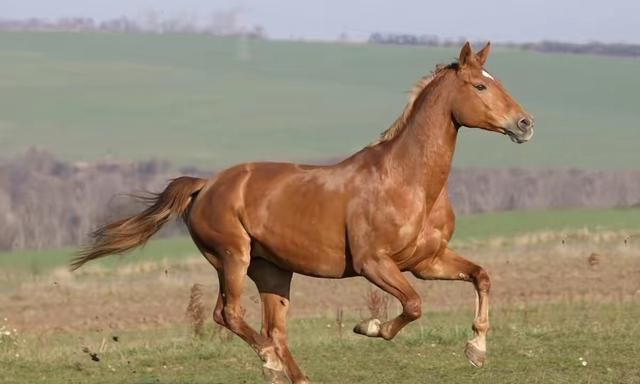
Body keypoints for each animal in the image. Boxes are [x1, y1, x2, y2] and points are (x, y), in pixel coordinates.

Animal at [71, 42, 536, 384]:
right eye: (479, 87)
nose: (525, 124)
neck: (410, 183)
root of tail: (206, 185)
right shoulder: (374, 263)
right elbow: (414, 305)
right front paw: (369, 328)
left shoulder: (427, 261)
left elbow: (481, 277)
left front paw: (476, 351)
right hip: (232, 259)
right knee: (230, 315)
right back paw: (270, 363)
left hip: (273, 271)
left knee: (275, 330)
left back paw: (290, 373)